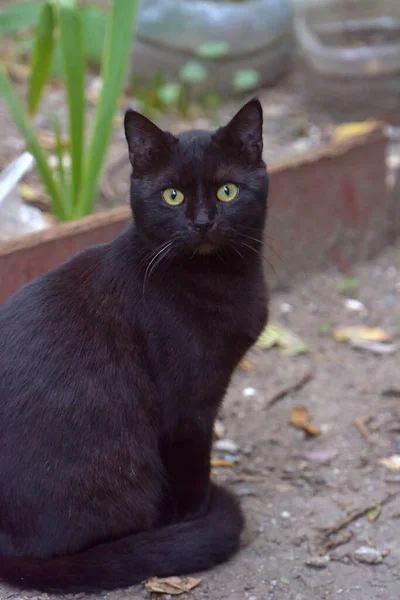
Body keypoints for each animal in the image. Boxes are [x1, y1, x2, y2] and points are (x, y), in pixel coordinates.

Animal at [0, 97, 270, 592]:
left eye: (227, 191)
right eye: (172, 196)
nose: (202, 223)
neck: (218, 279)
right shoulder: (187, 411)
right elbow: (192, 472)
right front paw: (193, 519)